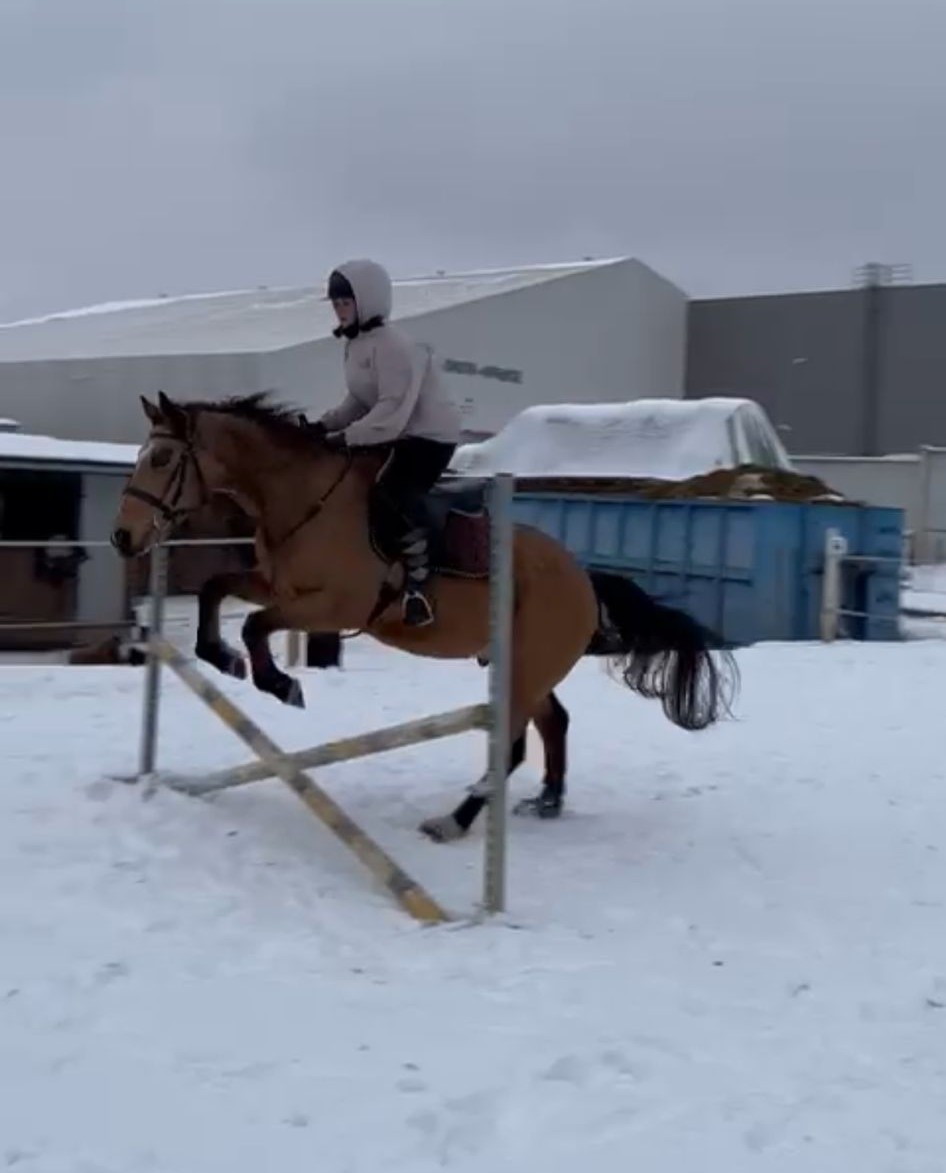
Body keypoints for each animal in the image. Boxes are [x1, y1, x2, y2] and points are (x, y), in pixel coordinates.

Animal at [110, 391, 739, 843]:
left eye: (161, 458)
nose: (123, 538)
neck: (303, 501)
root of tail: (583, 576)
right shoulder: (276, 585)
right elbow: (216, 590)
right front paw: (222, 657)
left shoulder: (333, 605)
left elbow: (254, 624)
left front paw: (279, 682)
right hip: (521, 665)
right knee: (552, 723)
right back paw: (547, 801)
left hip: (526, 665)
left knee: (510, 744)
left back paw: (454, 821)